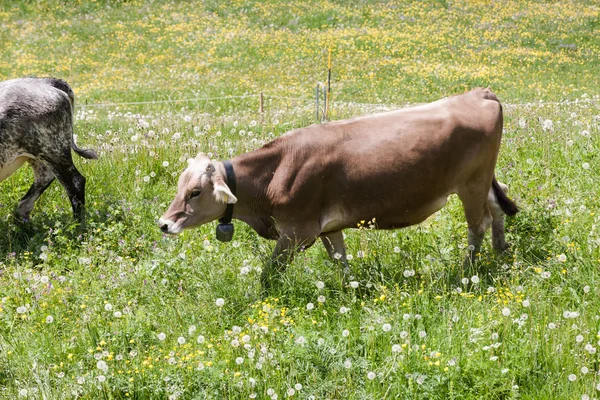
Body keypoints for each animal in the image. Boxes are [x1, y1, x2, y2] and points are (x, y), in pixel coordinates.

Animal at [158, 88, 516, 286]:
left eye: (195, 192)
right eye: (180, 186)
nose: (163, 224)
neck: (275, 172)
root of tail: (478, 93)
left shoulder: (297, 231)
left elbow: (269, 273)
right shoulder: (328, 227)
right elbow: (340, 262)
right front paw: (352, 292)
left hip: (471, 184)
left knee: (478, 225)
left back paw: (465, 274)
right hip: (482, 181)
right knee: (497, 208)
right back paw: (501, 252)